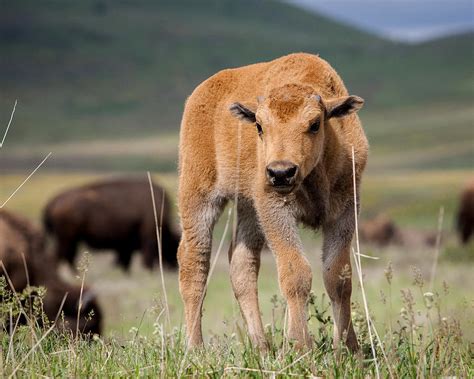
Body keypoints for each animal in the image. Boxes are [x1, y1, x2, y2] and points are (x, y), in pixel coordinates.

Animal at [43, 179, 180, 272]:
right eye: (173, 245)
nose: (175, 267)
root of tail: (53, 202)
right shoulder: (147, 239)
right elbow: (144, 259)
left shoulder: (125, 247)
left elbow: (124, 261)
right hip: (67, 240)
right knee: (62, 257)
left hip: (71, 240)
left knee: (66, 257)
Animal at [177, 52, 366, 352]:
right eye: (259, 125)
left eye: (315, 124)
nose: (280, 172)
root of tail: (200, 93)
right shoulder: (274, 209)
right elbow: (296, 273)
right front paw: (300, 346)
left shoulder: (344, 212)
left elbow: (337, 277)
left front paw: (349, 350)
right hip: (198, 196)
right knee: (194, 264)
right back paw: (196, 348)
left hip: (248, 208)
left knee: (242, 264)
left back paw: (261, 347)